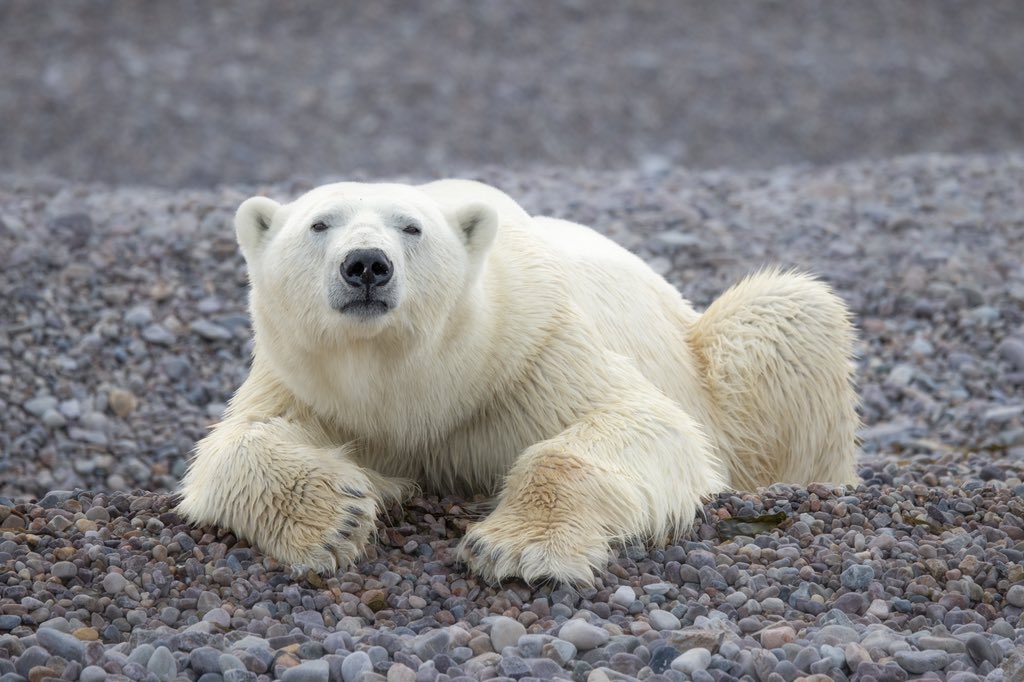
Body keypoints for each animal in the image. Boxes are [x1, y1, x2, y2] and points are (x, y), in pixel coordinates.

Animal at [178, 178, 859, 585]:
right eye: (319, 224)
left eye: (411, 227)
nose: (366, 264)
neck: (410, 379)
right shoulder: (303, 384)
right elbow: (231, 443)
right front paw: (337, 517)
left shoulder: (531, 350)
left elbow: (644, 422)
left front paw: (514, 546)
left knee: (793, 309)